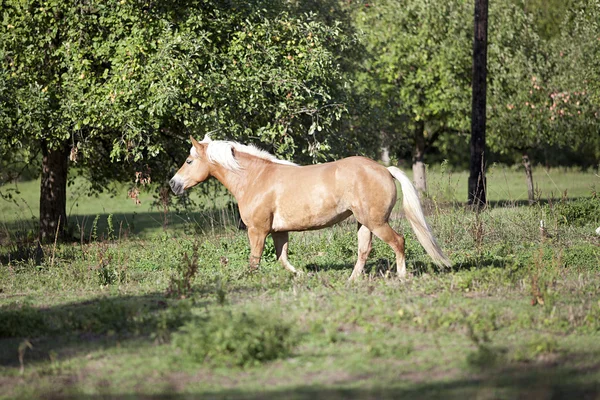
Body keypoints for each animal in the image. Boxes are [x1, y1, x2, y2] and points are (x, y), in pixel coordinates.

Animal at [169, 134, 450, 278]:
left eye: (189, 160)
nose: (173, 184)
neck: (255, 179)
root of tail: (384, 169)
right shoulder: (279, 232)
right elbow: (283, 259)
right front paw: (301, 277)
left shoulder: (258, 231)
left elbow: (254, 260)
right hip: (364, 224)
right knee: (364, 251)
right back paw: (352, 280)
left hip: (377, 222)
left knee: (399, 242)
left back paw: (401, 278)